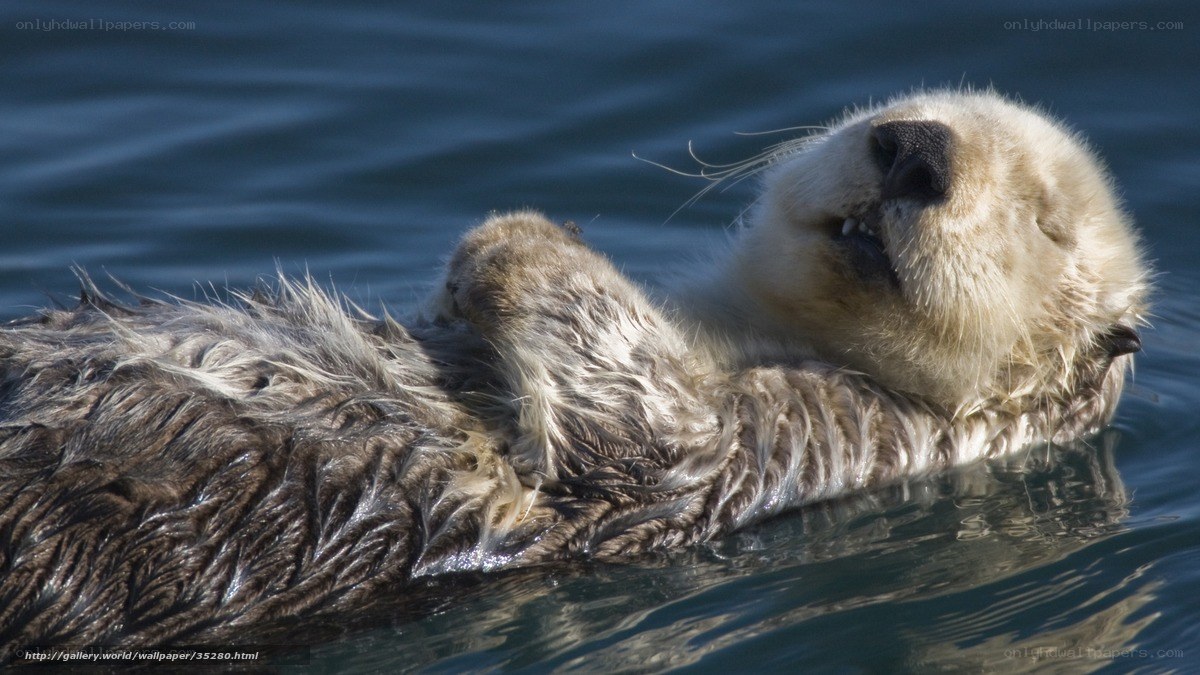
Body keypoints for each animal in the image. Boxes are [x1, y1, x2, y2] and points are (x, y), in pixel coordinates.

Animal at [0, 90, 1148, 658]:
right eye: (904, 111)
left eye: (1044, 221)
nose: (915, 150)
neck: (747, 329)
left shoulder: (814, 437)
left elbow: (641, 425)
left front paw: (514, 238)